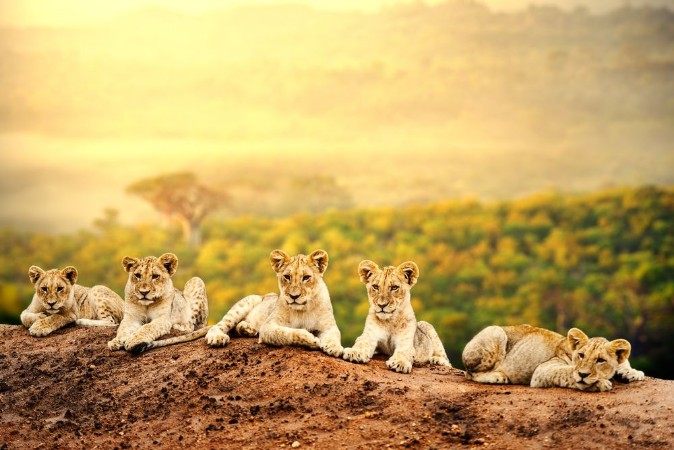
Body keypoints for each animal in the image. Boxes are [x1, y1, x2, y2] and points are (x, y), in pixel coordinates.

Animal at [205, 249, 343, 357]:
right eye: (287, 277)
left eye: (306, 277)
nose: (294, 296)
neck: (303, 310)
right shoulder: (268, 326)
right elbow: (288, 333)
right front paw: (310, 338)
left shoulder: (329, 326)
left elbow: (334, 335)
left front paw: (335, 348)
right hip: (246, 303)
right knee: (220, 325)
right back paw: (217, 337)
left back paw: (248, 329)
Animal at [462, 325, 645, 392]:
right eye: (581, 355)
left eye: (600, 360)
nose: (584, 374)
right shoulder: (541, 371)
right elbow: (568, 373)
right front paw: (598, 383)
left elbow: (623, 362)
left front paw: (633, 373)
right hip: (497, 332)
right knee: (470, 373)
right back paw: (498, 376)